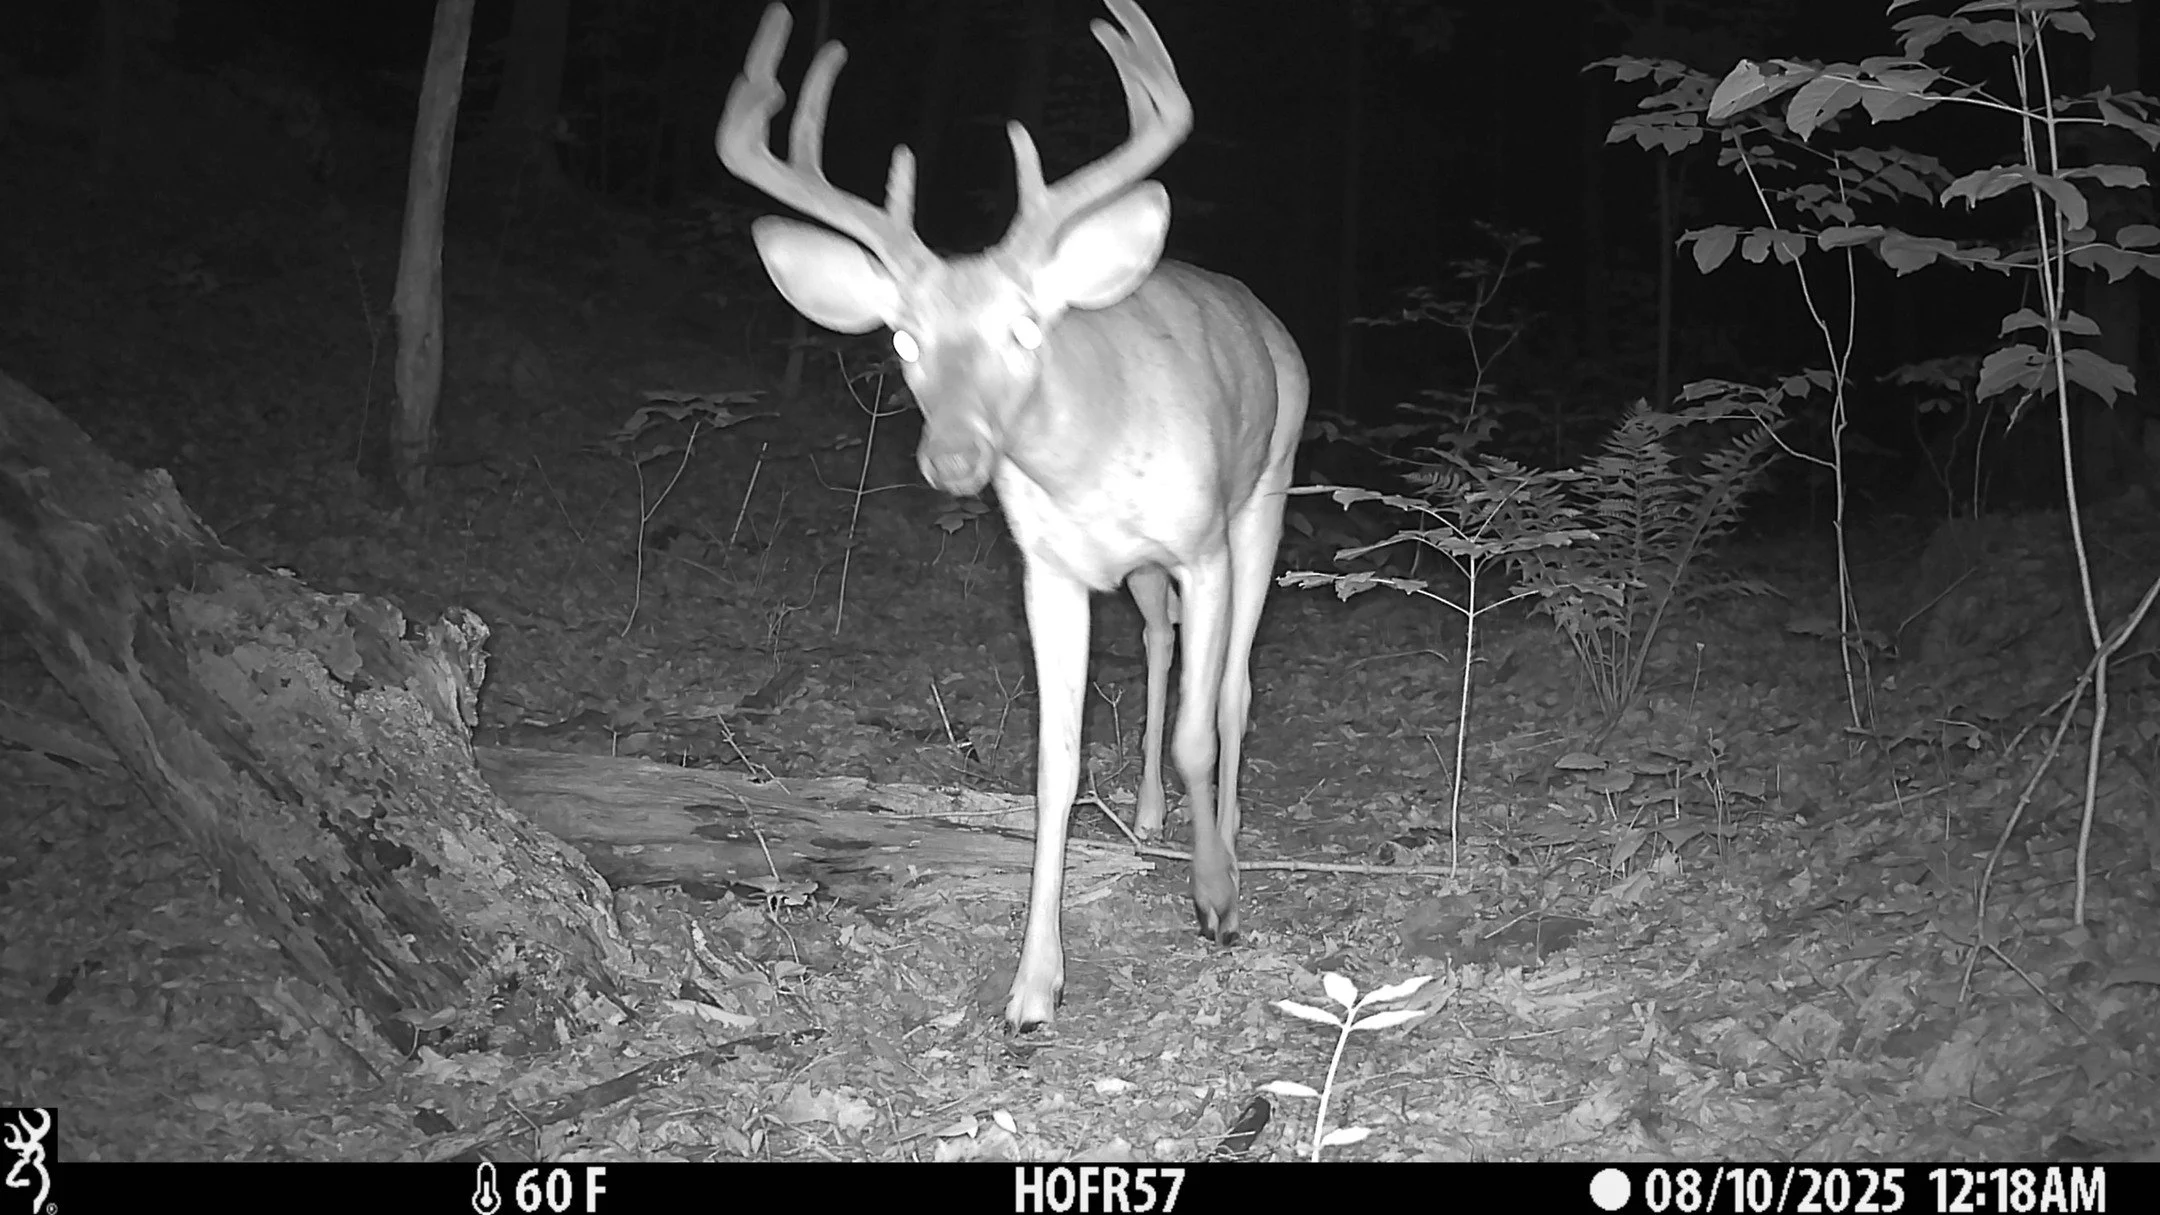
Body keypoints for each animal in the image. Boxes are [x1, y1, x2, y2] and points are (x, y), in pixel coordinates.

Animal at [715, 0, 1309, 1031]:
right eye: (903, 339)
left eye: (1025, 326)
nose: (951, 457)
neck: (1092, 462)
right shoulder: (1050, 568)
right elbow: (1054, 767)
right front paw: (1034, 986)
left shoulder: (1199, 543)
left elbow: (1201, 727)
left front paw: (1216, 898)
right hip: (1141, 569)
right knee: (1159, 640)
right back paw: (1148, 814)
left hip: (1264, 492)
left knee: (1232, 685)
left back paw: (1225, 836)